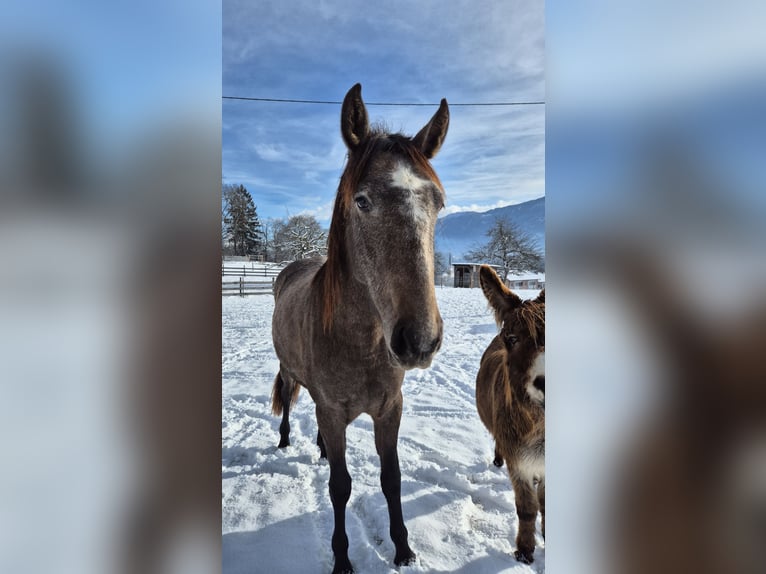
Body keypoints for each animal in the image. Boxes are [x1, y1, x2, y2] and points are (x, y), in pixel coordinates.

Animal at [270, 83, 449, 574]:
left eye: (438, 203)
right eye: (362, 200)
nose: (419, 340)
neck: (362, 341)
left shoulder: (390, 408)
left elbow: (392, 478)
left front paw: (403, 549)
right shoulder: (334, 411)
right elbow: (340, 487)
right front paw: (342, 559)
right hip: (289, 371)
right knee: (289, 399)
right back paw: (287, 439)